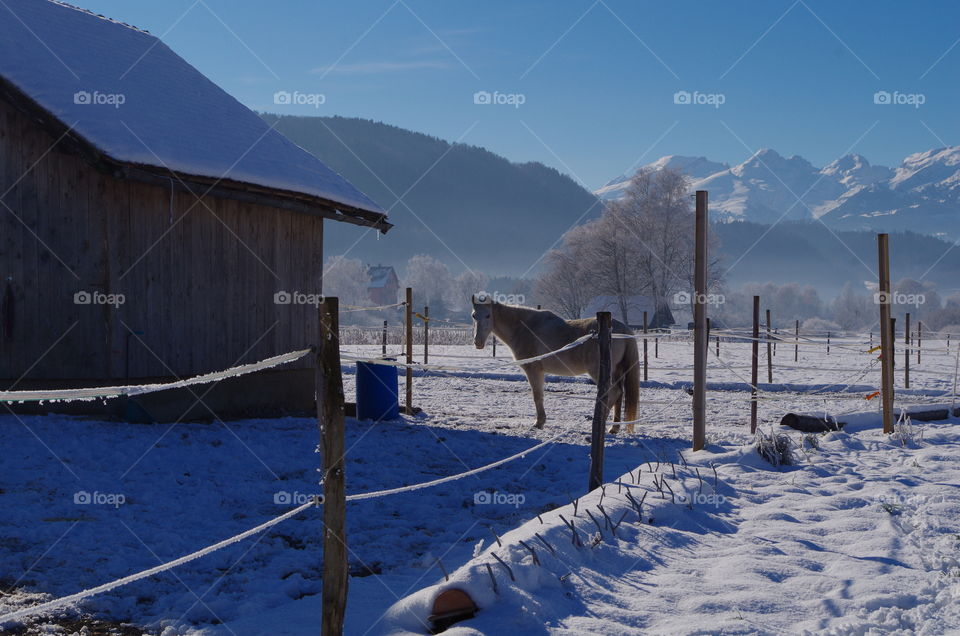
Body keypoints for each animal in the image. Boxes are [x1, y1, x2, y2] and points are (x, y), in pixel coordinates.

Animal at [470, 296, 640, 434]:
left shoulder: (534, 371)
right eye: (473, 316)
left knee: (614, 393)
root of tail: (622, 329)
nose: (477, 342)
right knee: (619, 395)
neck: (525, 328)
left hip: (600, 372)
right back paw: (614, 428)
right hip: (616, 371)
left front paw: (539, 423)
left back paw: (602, 423)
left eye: (488, 315)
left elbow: (537, 396)